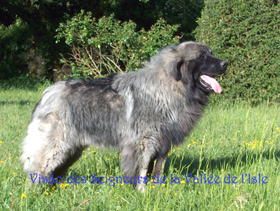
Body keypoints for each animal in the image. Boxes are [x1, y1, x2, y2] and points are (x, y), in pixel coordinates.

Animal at [21, 40, 228, 190]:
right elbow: (143, 171)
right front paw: (142, 192)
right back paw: (33, 195)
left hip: (72, 150)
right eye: (202, 56)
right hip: (57, 146)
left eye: (211, 53)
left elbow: (157, 171)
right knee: (38, 170)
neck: (170, 86)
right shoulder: (145, 142)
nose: (225, 63)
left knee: (55, 173)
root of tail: (48, 93)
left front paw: (157, 192)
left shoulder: (163, 144)